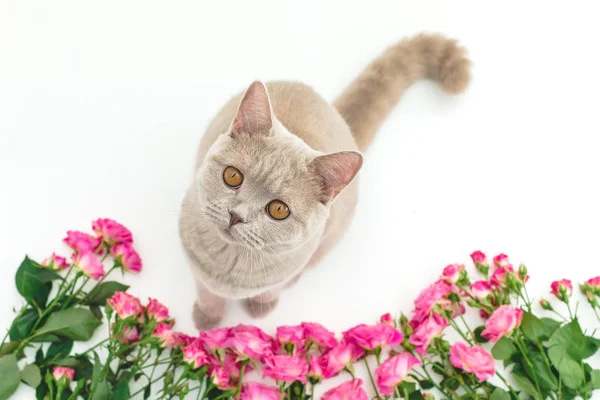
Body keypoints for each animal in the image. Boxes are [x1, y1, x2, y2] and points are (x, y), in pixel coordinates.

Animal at [176, 33, 472, 328]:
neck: (230, 263)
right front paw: (206, 319)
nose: (236, 215)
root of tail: (334, 112)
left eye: (278, 210)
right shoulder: (194, 263)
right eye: (232, 176)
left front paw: (260, 309)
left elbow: (269, 289)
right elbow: (207, 293)